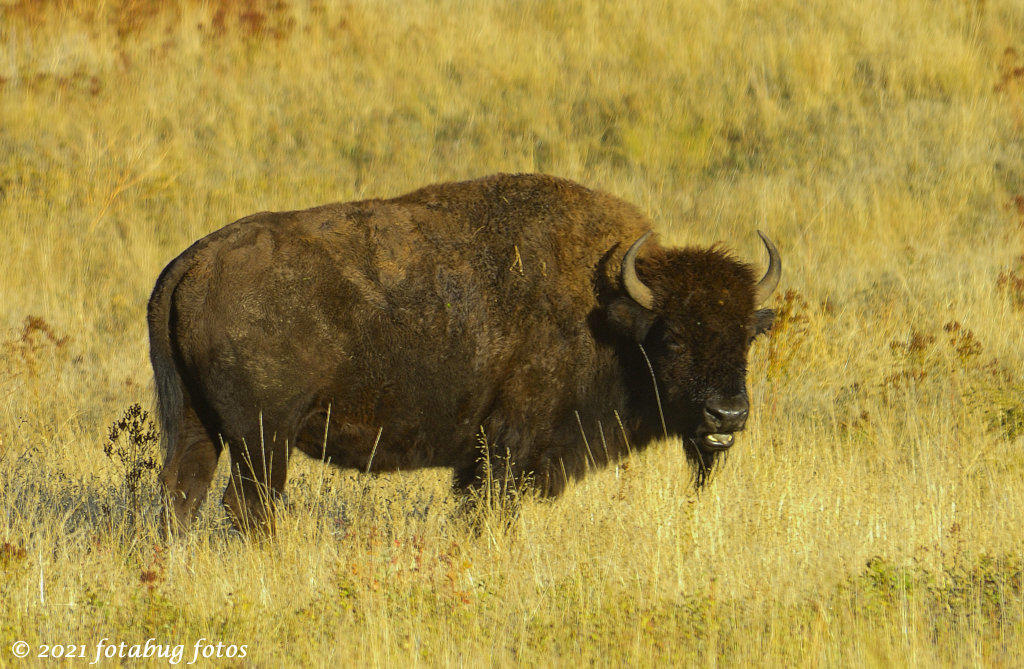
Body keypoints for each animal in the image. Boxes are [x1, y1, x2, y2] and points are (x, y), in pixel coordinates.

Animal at [149, 172, 774, 532]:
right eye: (672, 337)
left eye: (747, 335)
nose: (727, 415)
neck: (606, 307)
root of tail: (195, 260)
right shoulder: (506, 445)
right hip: (262, 438)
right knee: (247, 506)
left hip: (196, 422)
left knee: (183, 494)